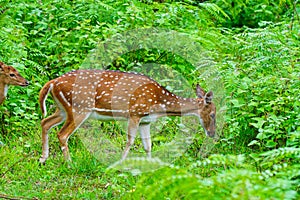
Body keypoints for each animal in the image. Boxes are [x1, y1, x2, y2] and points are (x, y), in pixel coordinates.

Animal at [38, 69, 217, 163]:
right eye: (213, 114)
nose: (212, 133)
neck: (159, 104)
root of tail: (52, 82)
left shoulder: (145, 121)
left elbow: (148, 145)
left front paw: (150, 165)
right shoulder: (135, 113)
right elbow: (130, 141)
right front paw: (119, 163)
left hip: (62, 109)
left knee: (45, 122)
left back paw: (43, 159)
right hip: (79, 109)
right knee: (62, 134)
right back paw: (69, 163)